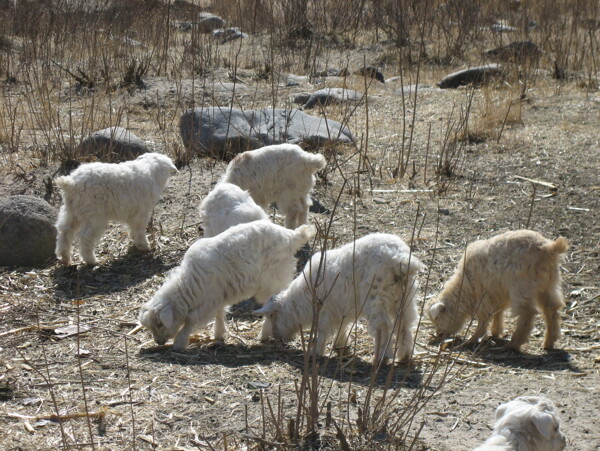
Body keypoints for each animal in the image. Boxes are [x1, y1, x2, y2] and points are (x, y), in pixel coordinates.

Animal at [139, 221, 316, 352]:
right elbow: (220, 312)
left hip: (273, 280)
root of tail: (291, 236)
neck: (190, 283)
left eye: (160, 324)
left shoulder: (208, 299)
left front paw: (179, 342)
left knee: (274, 306)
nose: (159, 342)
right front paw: (219, 335)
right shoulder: (218, 295)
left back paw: (264, 335)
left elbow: (190, 319)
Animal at [256, 235, 422, 366]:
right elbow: (344, 325)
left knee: (383, 326)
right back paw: (405, 355)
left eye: (271, 316)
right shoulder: (344, 307)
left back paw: (382, 358)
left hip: (376, 297)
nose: (275, 337)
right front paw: (339, 343)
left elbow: (323, 330)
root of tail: (399, 259)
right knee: (405, 324)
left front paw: (316, 351)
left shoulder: (325, 309)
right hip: (405, 296)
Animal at [426, 231, 568, 352]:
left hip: (521, 287)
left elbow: (484, 317)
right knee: (551, 309)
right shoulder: (498, 292)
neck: (465, 285)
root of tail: (549, 248)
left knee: (527, 313)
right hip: (549, 284)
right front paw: (496, 331)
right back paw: (548, 343)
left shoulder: (483, 294)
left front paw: (472, 339)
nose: (439, 334)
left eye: (438, 318)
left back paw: (513, 344)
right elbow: (497, 311)